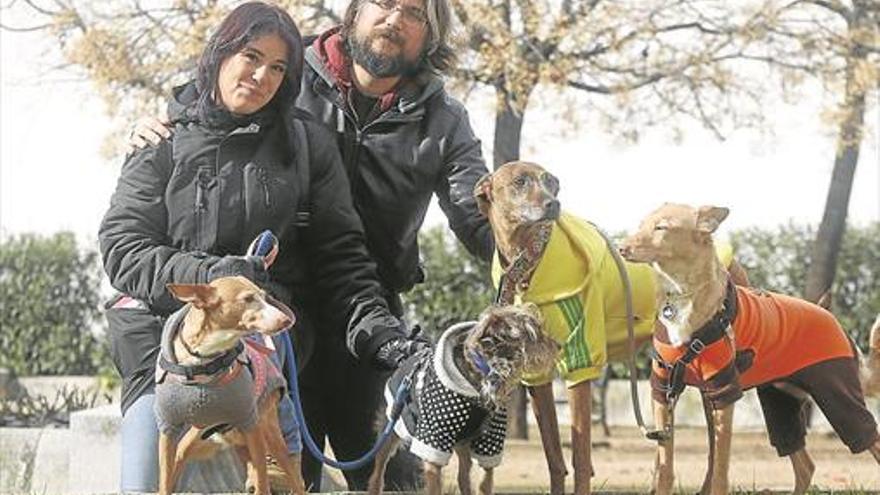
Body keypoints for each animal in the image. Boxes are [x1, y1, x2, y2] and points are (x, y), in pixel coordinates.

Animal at [156, 278, 308, 495]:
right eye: (248, 298)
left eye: (265, 296)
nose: (286, 320)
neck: (204, 362)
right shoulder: (168, 428)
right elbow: (165, 480)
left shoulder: (251, 424)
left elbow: (263, 481)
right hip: (194, 442)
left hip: (269, 435)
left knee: (291, 477)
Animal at [368, 304, 560, 495]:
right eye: (534, 333)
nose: (558, 346)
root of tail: (405, 360)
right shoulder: (433, 439)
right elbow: (434, 480)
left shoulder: (491, 440)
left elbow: (485, 480)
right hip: (391, 426)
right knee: (378, 468)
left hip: (463, 441)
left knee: (463, 475)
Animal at [620, 202, 880, 495]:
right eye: (642, 224)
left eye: (661, 227)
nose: (621, 248)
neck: (681, 296)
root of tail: (832, 318)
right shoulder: (664, 388)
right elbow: (665, 466)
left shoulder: (723, 391)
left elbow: (719, 467)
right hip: (780, 403)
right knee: (804, 464)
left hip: (837, 394)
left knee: (867, 437)